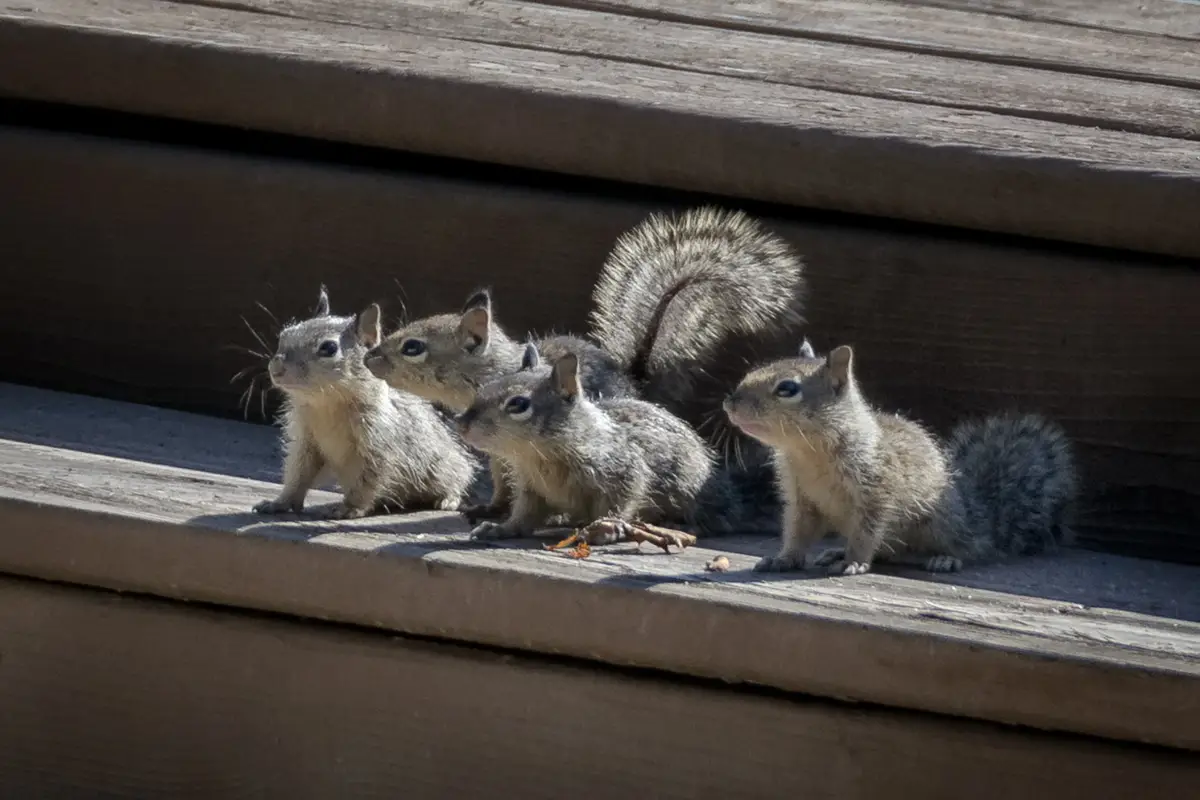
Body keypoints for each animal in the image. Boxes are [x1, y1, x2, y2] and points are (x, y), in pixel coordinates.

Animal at [253, 287, 477, 520]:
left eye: (328, 348)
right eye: (284, 335)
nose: (276, 369)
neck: (327, 405)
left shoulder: (379, 444)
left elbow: (368, 481)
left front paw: (349, 508)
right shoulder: (307, 443)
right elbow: (299, 475)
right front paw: (279, 503)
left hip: (448, 467)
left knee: (458, 480)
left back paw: (448, 499)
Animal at [453, 340, 744, 542]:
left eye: (519, 404)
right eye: (485, 387)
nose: (461, 422)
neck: (539, 455)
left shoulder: (622, 471)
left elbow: (620, 502)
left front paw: (606, 528)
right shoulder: (531, 488)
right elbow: (524, 515)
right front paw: (501, 528)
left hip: (690, 487)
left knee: (712, 519)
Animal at [720, 338, 1080, 575]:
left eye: (787, 388)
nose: (730, 403)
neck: (808, 451)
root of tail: (979, 517)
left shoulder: (877, 491)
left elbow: (867, 532)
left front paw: (854, 562)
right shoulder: (801, 500)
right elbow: (798, 532)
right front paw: (784, 558)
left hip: (941, 522)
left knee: (967, 546)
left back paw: (945, 558)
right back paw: (836, 552)